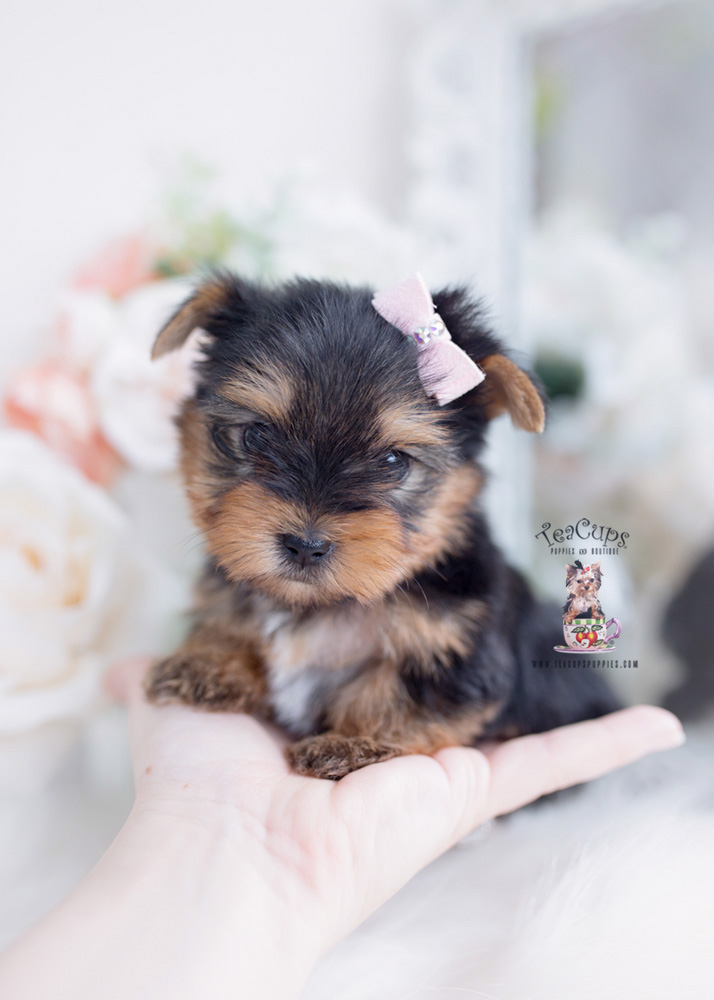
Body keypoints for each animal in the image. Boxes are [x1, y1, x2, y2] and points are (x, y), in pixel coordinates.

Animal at [145, 270, 616, 776]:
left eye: (394, 462)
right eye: (256, 436)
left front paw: (353, 743)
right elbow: (231, 623)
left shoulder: (459, 648)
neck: (324, 605)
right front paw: (207, 665)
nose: (305, 545)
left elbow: (395, 696)